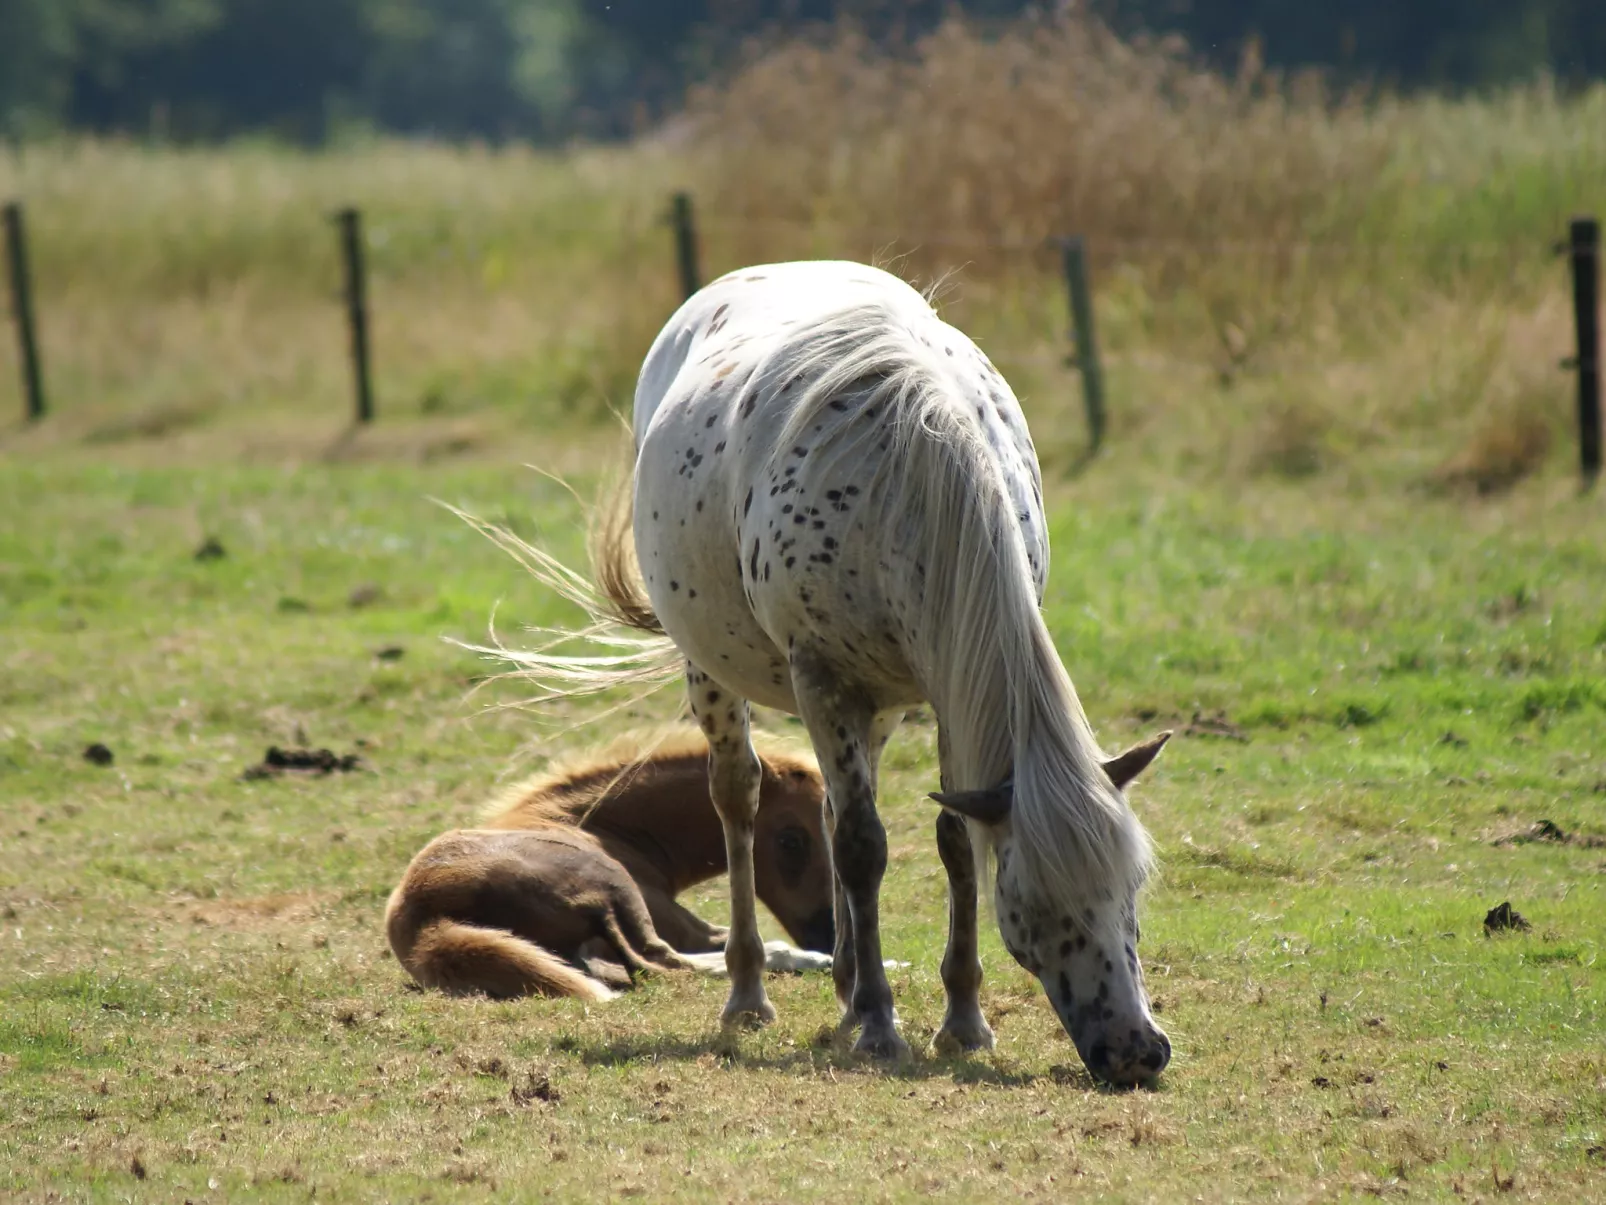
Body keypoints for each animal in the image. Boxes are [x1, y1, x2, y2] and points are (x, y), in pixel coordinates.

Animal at [390, 732, 841, 1002]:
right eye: (792, 840)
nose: (828, 934)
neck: (595, 823)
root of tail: (423, 919)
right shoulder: (674, 919)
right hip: (615, 887)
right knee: (660, 962)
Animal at [494, 260, 1175, 1092]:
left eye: (1132, 890)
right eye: (1035, 907)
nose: (1136, 1050)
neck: (912, 484)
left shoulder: (946, 692)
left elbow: (950, 838)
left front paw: (961, 1019)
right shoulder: (821, 676)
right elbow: (860, 846)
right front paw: (882, 1024)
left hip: (875, 705)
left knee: (832, 804)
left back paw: (847, 985)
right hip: (721, 673)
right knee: (741, 798)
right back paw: (751, 993)